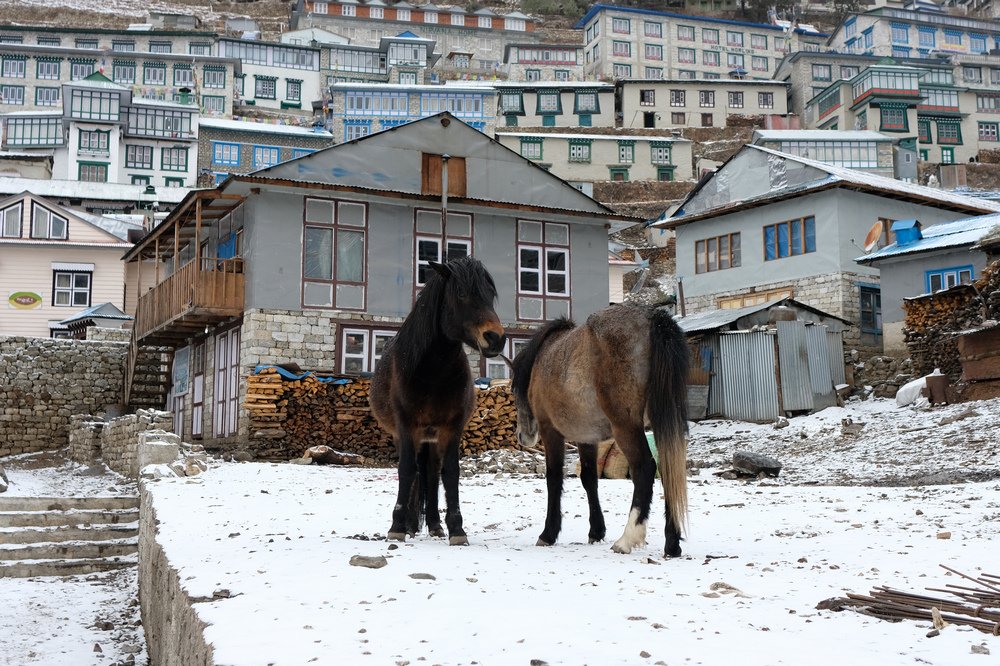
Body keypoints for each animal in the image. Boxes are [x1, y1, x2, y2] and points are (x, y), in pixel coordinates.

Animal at [370, 256, 504, 544]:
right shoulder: (406, 427)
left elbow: (450, 473)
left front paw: (457, 529)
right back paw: (411, 524)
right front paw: (398, 526)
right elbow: (407, 470)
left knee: (430, 474)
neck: (431, 371)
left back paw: (433, 524)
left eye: (490, 295)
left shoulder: (451, 428)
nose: (496, 338)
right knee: (418, 473)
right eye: (461, 293)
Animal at [512, 304, 692, 556]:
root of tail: (652, 318)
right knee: (668, 470)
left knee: (645, 468)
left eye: (514, 390)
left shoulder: (551, 432)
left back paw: (627, 539)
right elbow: (589, 479)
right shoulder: (587, 438)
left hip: (626, 427)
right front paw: (596, 531)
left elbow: (554, 478)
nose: (522, 436)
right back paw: (672, 544)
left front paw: (548, 534)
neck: (546, 356)